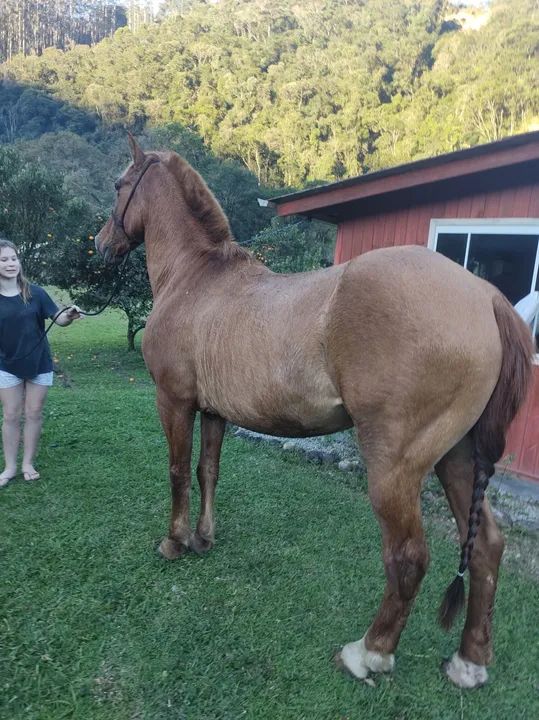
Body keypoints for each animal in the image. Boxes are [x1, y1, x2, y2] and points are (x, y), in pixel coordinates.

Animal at [95, 134, 534, 689]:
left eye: (119, 185)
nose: (100, 243)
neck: (197, 279)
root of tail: (486, 297)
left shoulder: (174, 401)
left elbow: (176, 470)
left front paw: (174, 542)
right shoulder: (214, 411)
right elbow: (207, 470)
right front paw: (203, 538)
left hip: (395, 466)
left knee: (409, 555)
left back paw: (369, 653)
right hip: (457, 457)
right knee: (485, 547)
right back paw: (468, 662)